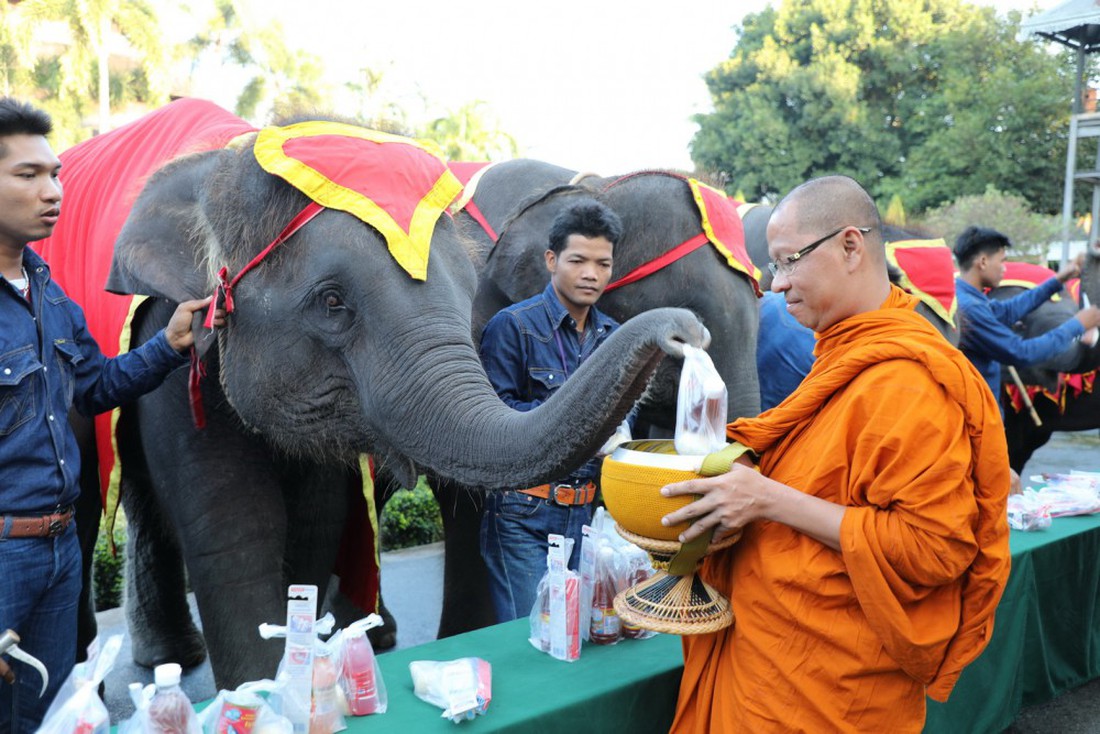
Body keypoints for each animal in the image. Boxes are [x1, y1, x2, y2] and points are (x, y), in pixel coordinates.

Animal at [99, 120, 708, 691]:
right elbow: (233, 526)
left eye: (470, 295)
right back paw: (170, 657)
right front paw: (263, 691)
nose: (686, 331)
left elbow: (316, 518)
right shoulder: (171, 339)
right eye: (332, 302)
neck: (226, 164)